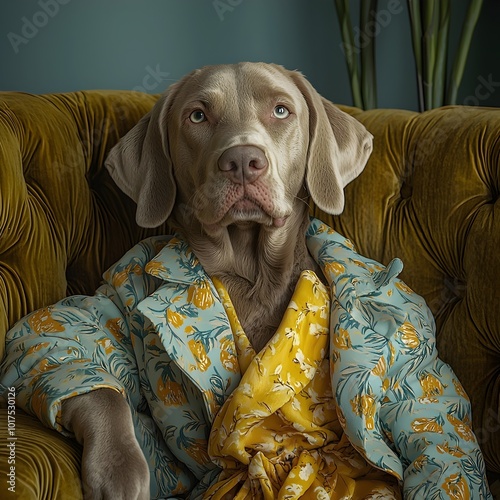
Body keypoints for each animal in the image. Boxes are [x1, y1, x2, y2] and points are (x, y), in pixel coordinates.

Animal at [62, 63, 374, 500]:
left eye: (281, 110)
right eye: (197, 116)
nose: (243, 160)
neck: (251, 272)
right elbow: (83, 360)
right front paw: (117, 470)